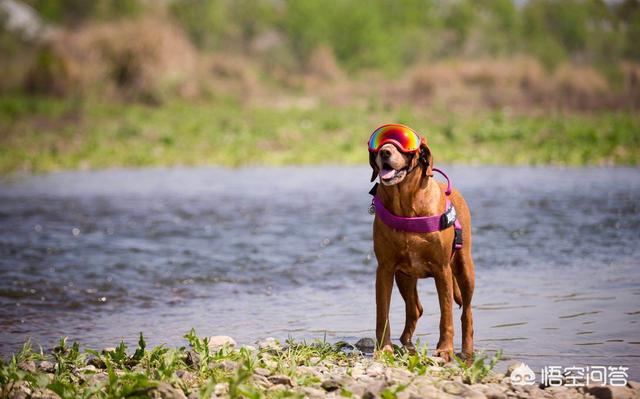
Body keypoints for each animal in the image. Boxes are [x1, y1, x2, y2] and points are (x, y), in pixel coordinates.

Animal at [364, 125, 476, 362]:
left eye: (404, 144)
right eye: (380, 142)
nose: (384, 152)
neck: (406, 203)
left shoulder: (442, 269)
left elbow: (446, 314)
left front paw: (445, 349)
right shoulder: (385, 269)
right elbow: (382, 312)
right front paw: (384, 348)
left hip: (464, 269)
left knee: (466, 312)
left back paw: (466, 350)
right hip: (404, 277)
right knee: (415, 308)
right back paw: (405, 342)